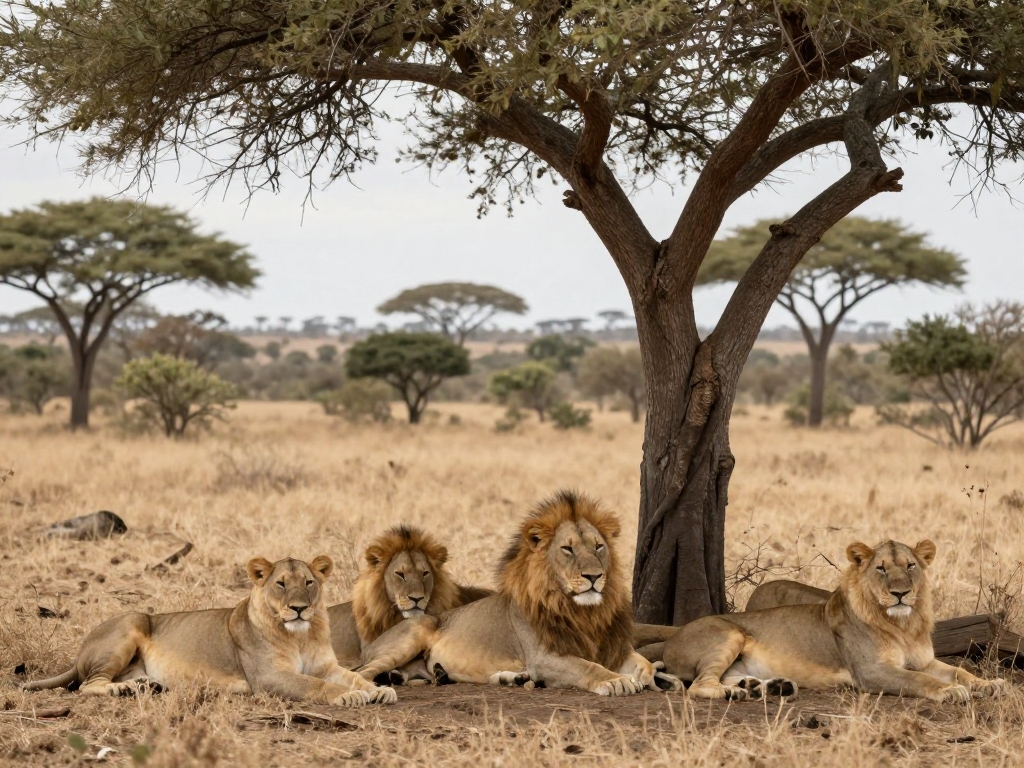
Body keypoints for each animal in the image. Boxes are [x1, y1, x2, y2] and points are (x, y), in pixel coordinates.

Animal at [24, 555, 397, 707]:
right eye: (280, 584)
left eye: (308, 583)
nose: (299, 608)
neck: (301, 633)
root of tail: (80, 651)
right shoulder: (268, 677)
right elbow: (316, 685)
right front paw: (348, 696)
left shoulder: (326, 665)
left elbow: (354, 676)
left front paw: (378, 690)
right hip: (131, 620)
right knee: (87, 685)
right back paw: (124, 689)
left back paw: (143, 685)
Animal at [355, 491, 682, 696]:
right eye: (568, 549)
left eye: (598, 546)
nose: (594, 577)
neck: (580, 610)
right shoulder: (546, 656)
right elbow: (587, 666)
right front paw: (615, 681)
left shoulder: (609, 646)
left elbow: (641, 662)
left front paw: (661, 679)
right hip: (413, 633)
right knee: (364, 670)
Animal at [649, 539, 1004, 701]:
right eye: (881, 568)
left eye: (910, 565)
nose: (900, 593)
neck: (903, 624)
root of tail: (671, 639)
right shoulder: (871, 672)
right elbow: (920, 680)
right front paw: (951, 692)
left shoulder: (925, 661)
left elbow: (958, 671)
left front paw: (989, 684)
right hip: (729, 634)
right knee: (699, 685)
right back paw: (736, 694)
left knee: (722, 677)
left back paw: (766, 687)